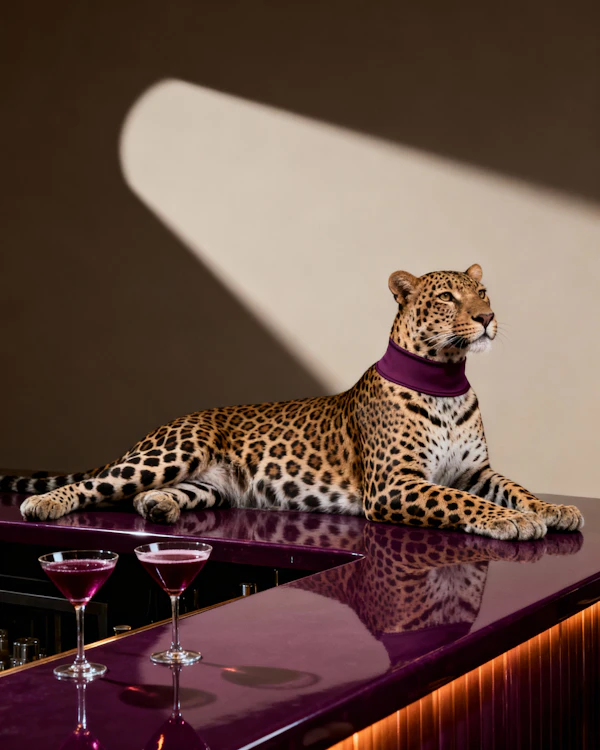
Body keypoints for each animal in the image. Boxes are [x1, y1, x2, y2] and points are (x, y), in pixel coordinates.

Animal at [2, 264, 584, 540]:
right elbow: (462, 502)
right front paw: (508, 522)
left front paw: (554, 509)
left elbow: (515, 488)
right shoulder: (395, 485)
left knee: (145, 495)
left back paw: (158, 506)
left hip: (210, 486)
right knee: (99, 484)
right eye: (447, 297)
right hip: (173, 452)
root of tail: (172, 420)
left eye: (483, 294)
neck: (445, 379)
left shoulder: (474, 470)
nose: (487, 318)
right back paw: (45, 504)